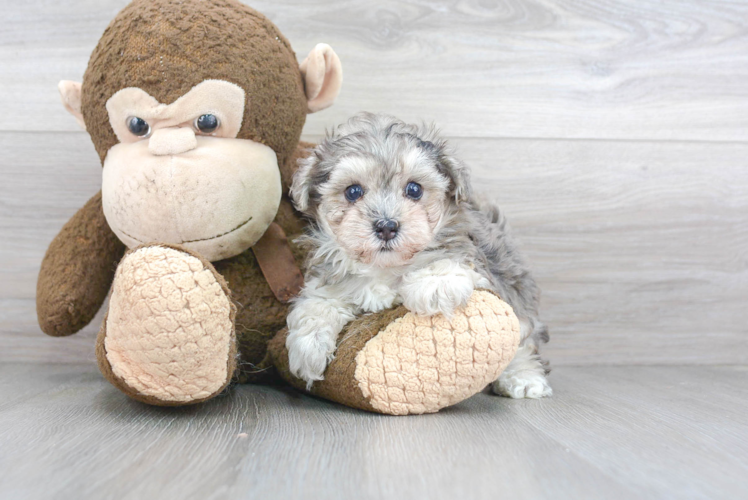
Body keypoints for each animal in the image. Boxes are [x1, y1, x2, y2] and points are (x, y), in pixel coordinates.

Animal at [284, 112, 548, 398]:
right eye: (353, 191)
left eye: (414, 189)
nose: (386, 226)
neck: (385, 267)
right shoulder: (331, 281)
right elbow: (318, 303)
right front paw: (308, 347)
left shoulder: (479, 263)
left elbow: (450, 260)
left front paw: (434, 284)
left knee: (522, 337)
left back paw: (524, 377)